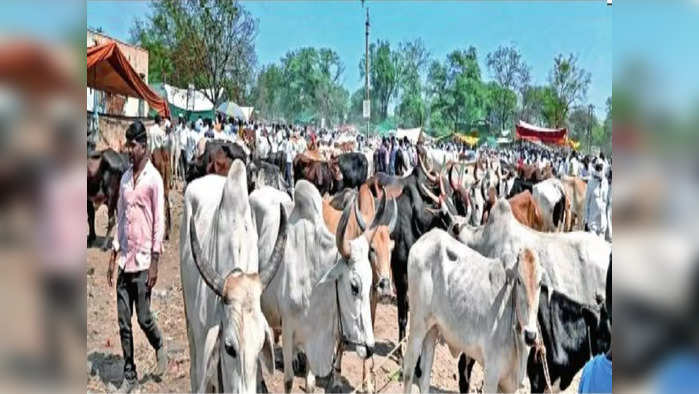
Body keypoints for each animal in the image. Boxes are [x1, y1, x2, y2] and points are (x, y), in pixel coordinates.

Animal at [247, 181, 374, 390]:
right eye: (354, 287)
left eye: (371, 284)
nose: (370, 348)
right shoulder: (288, 329)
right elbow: (288, 381)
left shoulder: (312, 335)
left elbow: (310, 382)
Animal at [404, 229, 548, 392]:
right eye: (519, 280)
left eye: (540, 283)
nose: (530, 335)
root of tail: (429, 236)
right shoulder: (491, 373)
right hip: (417, 324)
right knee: (408, 370)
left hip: (432, 327)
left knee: (425, 376)